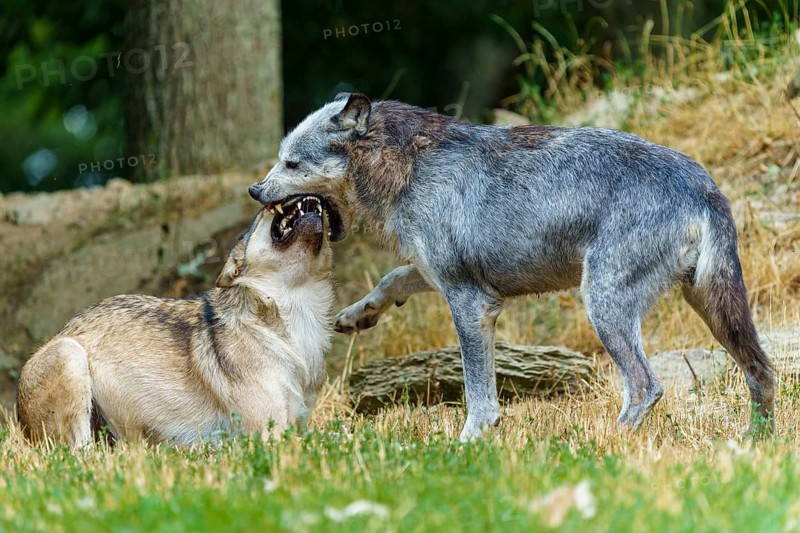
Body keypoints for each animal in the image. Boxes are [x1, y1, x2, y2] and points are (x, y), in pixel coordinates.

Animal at [248, 93, 775, 440]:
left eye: (292, 163)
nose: (255, 190)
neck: (409, 166)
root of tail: (704, 185)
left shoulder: (469, 302)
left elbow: (479, 395)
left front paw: (469, 443)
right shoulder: (436, 275)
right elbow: (391, 278)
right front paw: (359, 314)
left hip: (605, 308)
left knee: (647, 386)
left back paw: (606, 443)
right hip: (715, 311)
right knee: (762, 372)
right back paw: (757, 439)